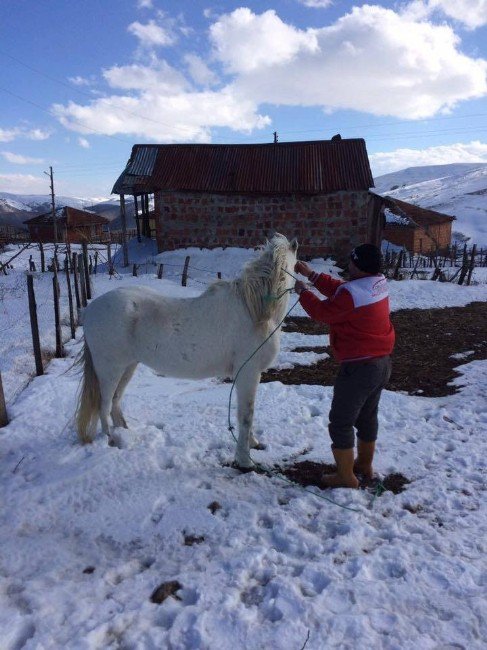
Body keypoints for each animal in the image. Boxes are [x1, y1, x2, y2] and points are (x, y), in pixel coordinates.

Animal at [76, 233, 298, 466]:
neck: (254, 311)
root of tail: (89, 310)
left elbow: (247, 414)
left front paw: (253, 443)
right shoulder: (248, 373)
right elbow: (246, 415)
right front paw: (244, 460)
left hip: (128, 366)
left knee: (116, 402)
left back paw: (125, 434)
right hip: (110, 370)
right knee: (104, 404)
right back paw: (111, 440)